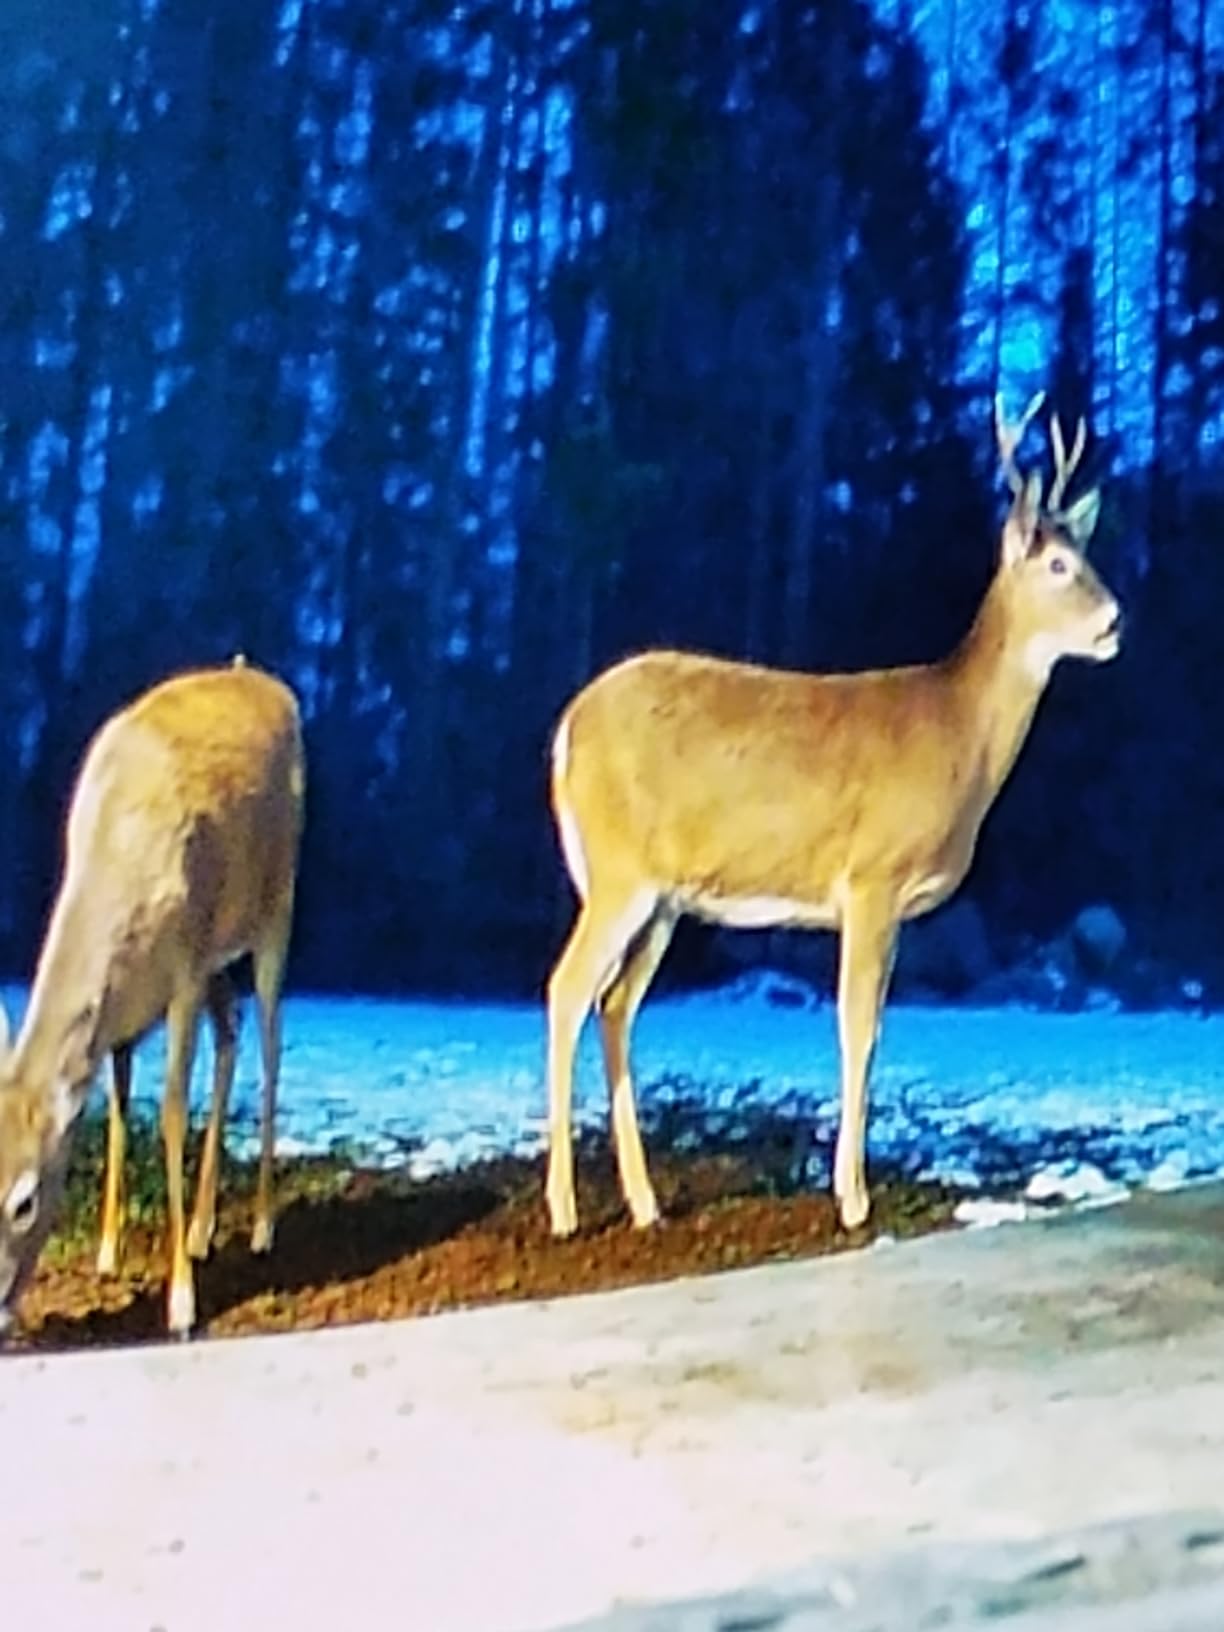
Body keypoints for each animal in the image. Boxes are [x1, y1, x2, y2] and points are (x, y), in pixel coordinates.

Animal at [0, 659, 304, 1339]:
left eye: (24, 1201)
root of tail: (261, 677)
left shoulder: (184, 970)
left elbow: (168, 1110)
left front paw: (182, 1303)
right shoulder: (134, 1005)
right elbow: (116, 1100)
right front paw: (108, 1252)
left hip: (275, 907)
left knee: (271, 1040)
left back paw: (262, 1226)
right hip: (220, 952)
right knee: (231, 1031)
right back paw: (202, 1228)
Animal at [544, 393, 1121, 1239]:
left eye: (1087, 552)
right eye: (1057, 565)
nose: (1114, 621)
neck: (958, 735)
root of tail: (564, 731)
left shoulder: (897, 908)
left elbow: (873, 1026)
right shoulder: (872, 878)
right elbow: (857, 1026)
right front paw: (851, 1198)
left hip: (664, 899)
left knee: (614, 1004)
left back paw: (646, 1204)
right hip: (620, 873)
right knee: (566, 990)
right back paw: (563, 1209)